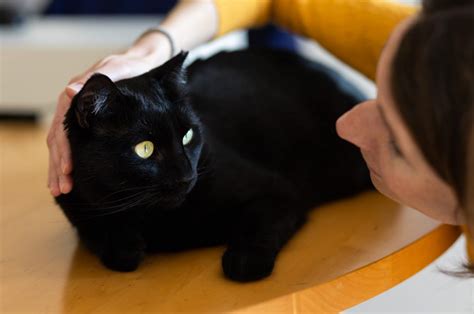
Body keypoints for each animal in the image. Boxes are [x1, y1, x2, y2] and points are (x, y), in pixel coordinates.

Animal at [56, 49, 370, 282]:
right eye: (145, 149)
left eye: (187, 135)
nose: (186, 175)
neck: (159, 219)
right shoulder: (79, 209)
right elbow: (114, 247)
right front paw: (128, 243)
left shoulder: (279, 191)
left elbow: (258, 227)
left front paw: (244, 259)